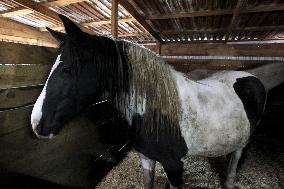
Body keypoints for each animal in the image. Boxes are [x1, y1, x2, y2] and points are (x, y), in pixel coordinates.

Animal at [30, 15, 284, 189]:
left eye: (67, 69)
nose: (36, 123)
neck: (157, 111)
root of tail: (252, 77)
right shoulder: (146, 159)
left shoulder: (174, 165)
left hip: (244, 140)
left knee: (237, 156)